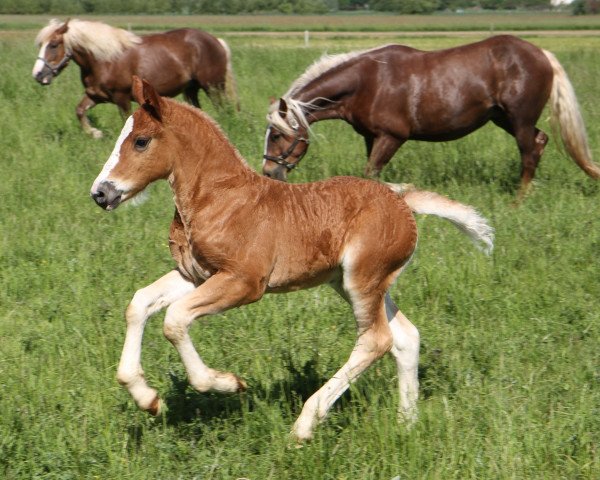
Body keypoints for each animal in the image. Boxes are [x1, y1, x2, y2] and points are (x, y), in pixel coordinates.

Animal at [33, 19, 237, 139]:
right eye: (42, 44)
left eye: (53, 45)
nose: (38, 75)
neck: (105, 59)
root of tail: (216, 41)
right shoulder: (95, 95)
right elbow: (80, 111)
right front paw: (95, 133)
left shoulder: (121, 97)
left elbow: (126, 121)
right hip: (191, 89)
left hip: (213, 86)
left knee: (224, 109)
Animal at [89, 77, 492, 440]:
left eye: (141, 141)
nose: (100, 193)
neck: (219, 198)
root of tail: (402, 200)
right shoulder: (196, 275)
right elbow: (139, 303)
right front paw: (147, 398)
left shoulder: (244, 282)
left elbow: (174, 319)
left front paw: (226, 383)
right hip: (356, 282)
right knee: (405, 337)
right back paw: (405, 424)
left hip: (362, 280)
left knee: (376, 340)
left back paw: (305, 425)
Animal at [264, 36, 600, 199]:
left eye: (278, 135)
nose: (269, 173)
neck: (367, 81)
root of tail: (542, 54)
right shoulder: (371, 137)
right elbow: (371, 173)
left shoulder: (392, 137)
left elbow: (372, 173)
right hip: (503, 119)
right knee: (540, 142)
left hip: (519, 120)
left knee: (529, 154)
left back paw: (517, 202)